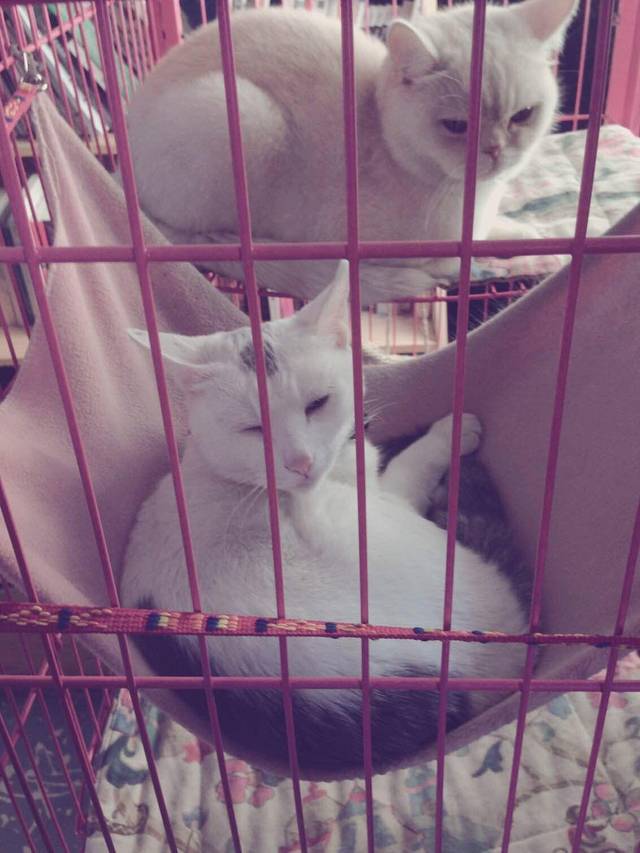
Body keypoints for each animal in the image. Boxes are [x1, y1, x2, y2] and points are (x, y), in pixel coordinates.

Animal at [120, 262, 529, 774]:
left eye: (317, 403)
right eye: (253, 428)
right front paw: (450, 432)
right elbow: (407, 465)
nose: (300, 462)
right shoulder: (379, 494)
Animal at [125, 0, 576, 304]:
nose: (497, 150)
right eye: (456, 127)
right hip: (241, 114)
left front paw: (523, 234)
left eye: (522, 115)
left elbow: (499, 234)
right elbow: (439, 262)